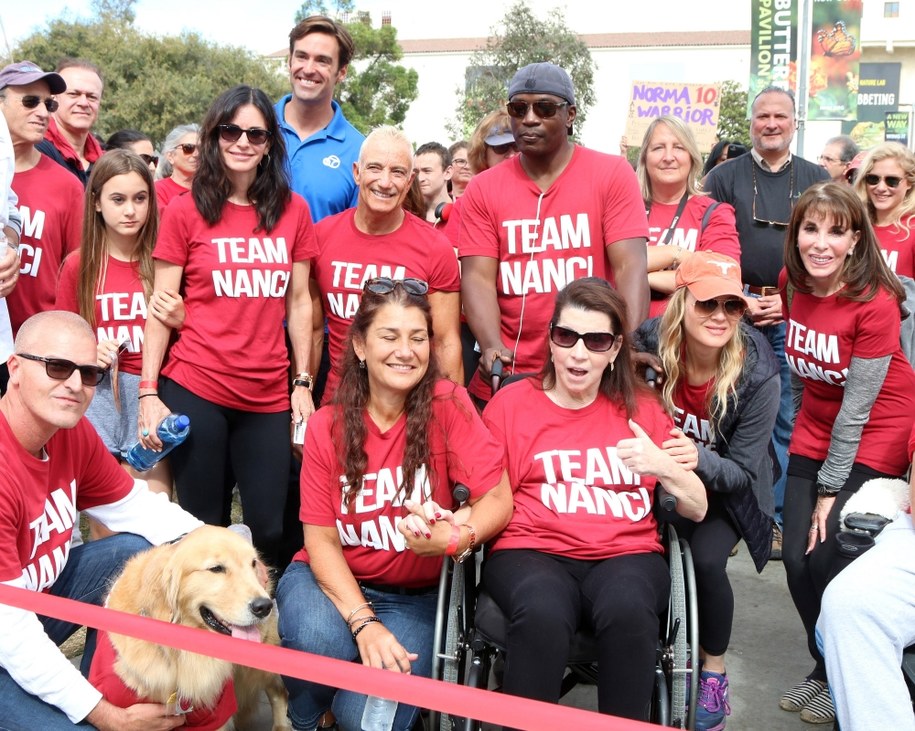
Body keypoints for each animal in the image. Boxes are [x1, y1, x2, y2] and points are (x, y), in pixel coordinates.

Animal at [88, 528, 290, 731]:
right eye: (216, 568)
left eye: (253, 564)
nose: (263, 606)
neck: (180, 654)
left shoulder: (214, 713)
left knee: (279, 690)